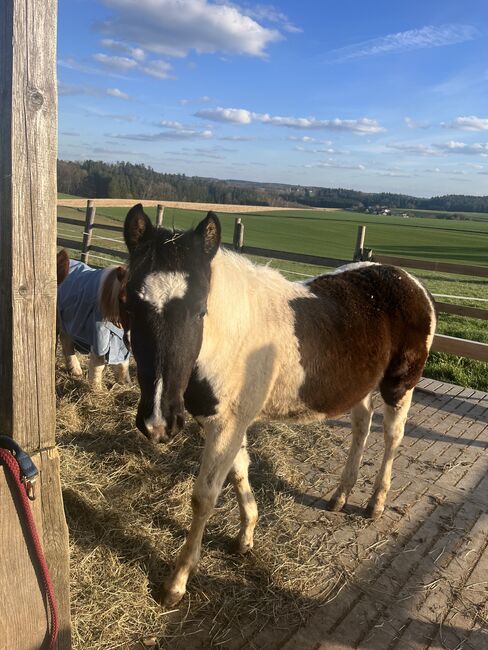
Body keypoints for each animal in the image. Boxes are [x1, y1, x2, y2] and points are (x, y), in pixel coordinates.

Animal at [119, 201, 438, 604]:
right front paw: (245, 537)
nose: (158, 422)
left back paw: (375, 503)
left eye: (200, 309)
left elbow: (204, 497)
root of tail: (409, 280)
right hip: (360, 387)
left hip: (399, 387)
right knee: (361, 427)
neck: (235, 335)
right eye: (132, 303)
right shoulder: (225, 421)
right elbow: (239, 471)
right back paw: (340, 495)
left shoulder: (226, 425)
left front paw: (176, 582)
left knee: (391, 439)